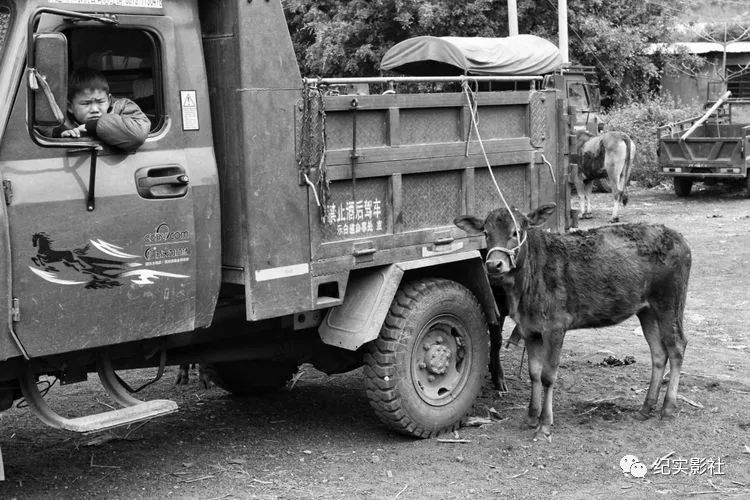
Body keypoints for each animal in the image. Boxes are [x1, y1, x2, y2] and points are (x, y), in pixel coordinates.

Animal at [452, 204, 692, 442]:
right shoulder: (530, 329)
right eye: (486, 233)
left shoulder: (556, 326)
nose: (494, 265)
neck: (527, 286)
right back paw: (646, 408)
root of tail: (678, 237)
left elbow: (548, 375)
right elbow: (534, 373)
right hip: (646, 309)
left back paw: (668, 408)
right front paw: (531, 416)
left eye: (516, 232)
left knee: (677, 346)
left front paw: (545, 424)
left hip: (669, 300)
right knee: (659, 352)